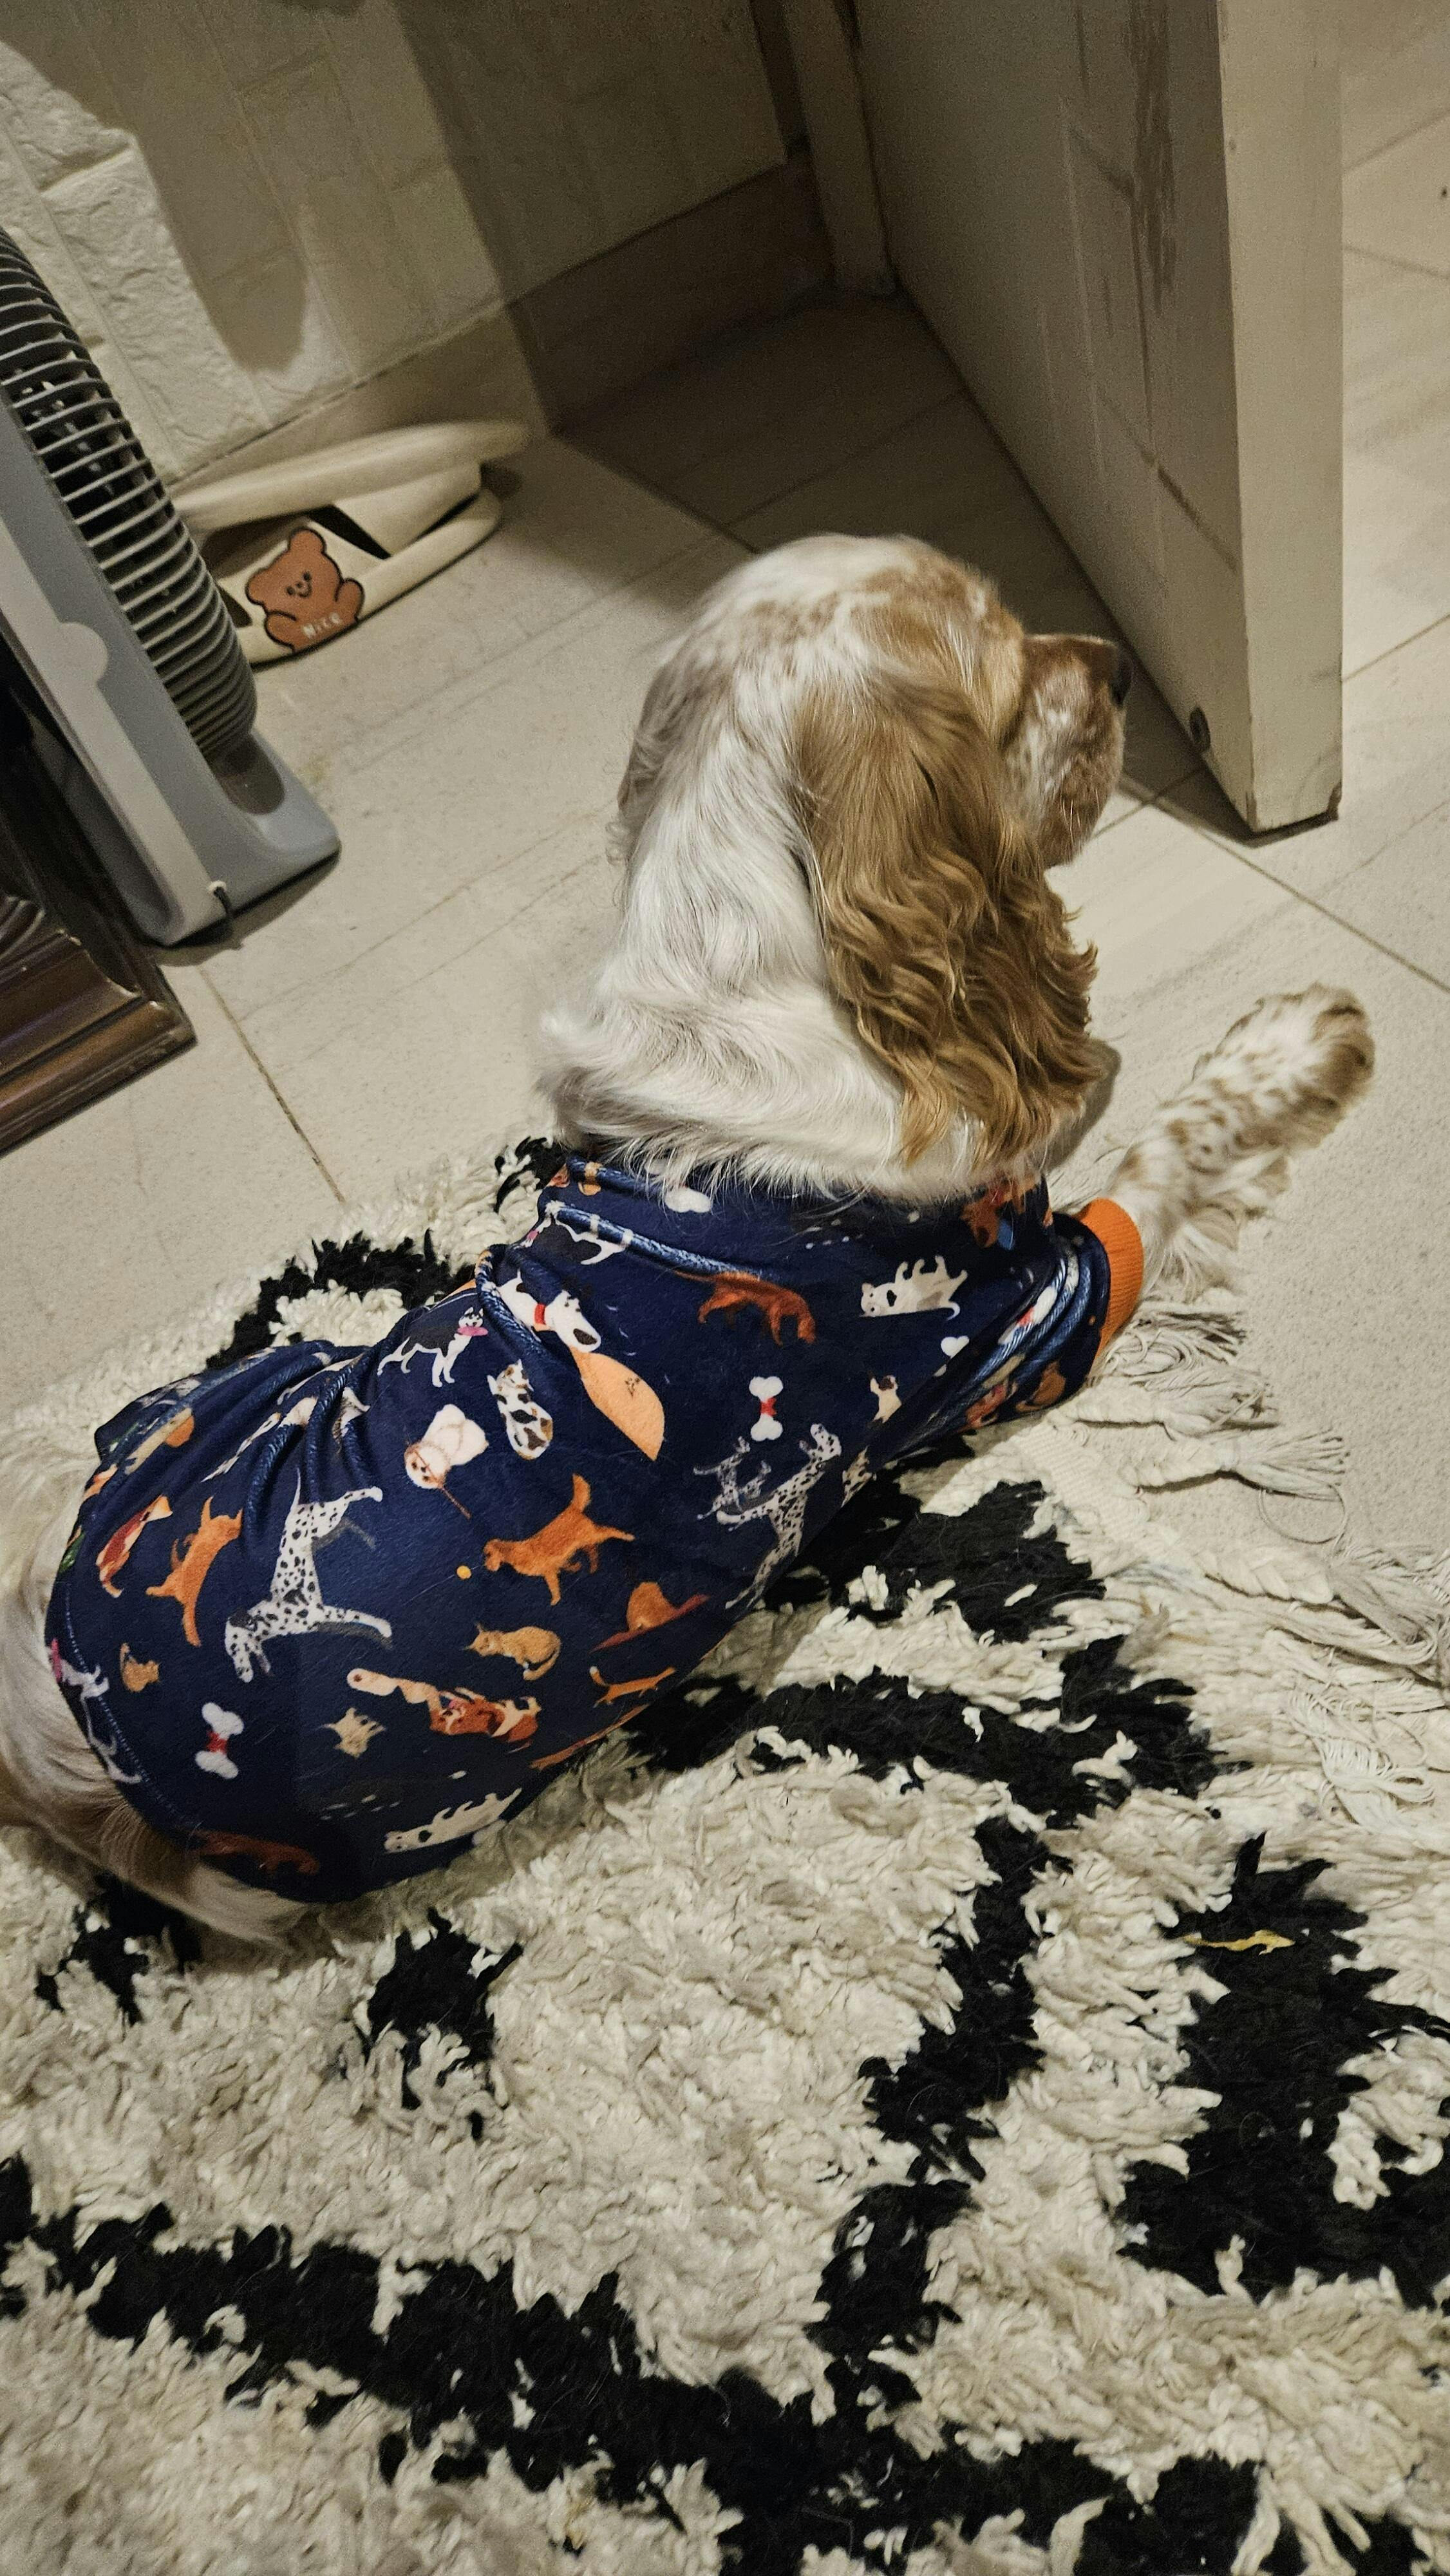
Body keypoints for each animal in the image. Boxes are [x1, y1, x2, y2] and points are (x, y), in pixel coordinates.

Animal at [0, 534, 1372, 1939]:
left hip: (216, 1390)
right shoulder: (1033, 1312)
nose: (1114, 665)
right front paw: (1295, 1039)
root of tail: (75, 1777)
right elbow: (1167, 1148)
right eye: (1006, 665)